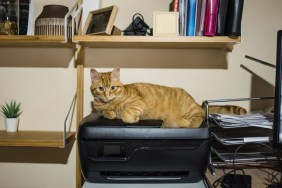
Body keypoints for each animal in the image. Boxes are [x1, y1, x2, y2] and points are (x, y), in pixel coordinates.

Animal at [90, 67, 245, 128]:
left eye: (112, 88)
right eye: (101, 88)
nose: (107, 95)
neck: (110, 103)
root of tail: (195, 101)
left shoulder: (139, 102)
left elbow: (126, 115)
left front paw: (132, 118)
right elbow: (106, 113)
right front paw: (110, 113)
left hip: (190, 110)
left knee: (199, 116)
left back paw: (185, 122)